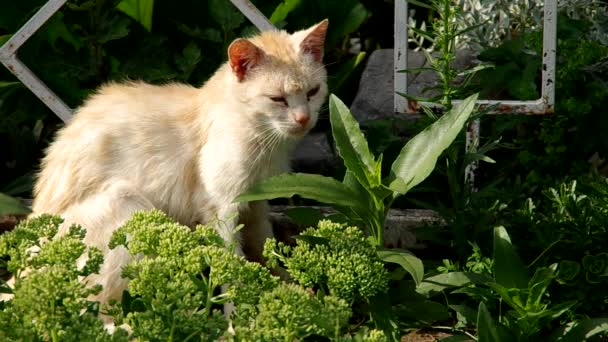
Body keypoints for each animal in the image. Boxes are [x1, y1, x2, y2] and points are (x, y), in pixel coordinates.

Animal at [23, 20, 330, 306]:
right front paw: (238, 316)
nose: (304, 119)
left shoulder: (256, 204)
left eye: (313, 92)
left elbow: (265, 246)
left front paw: (291, 289)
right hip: (128, 202)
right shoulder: (221, 210)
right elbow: (231, 266)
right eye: (277, 99)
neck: (265, 143)